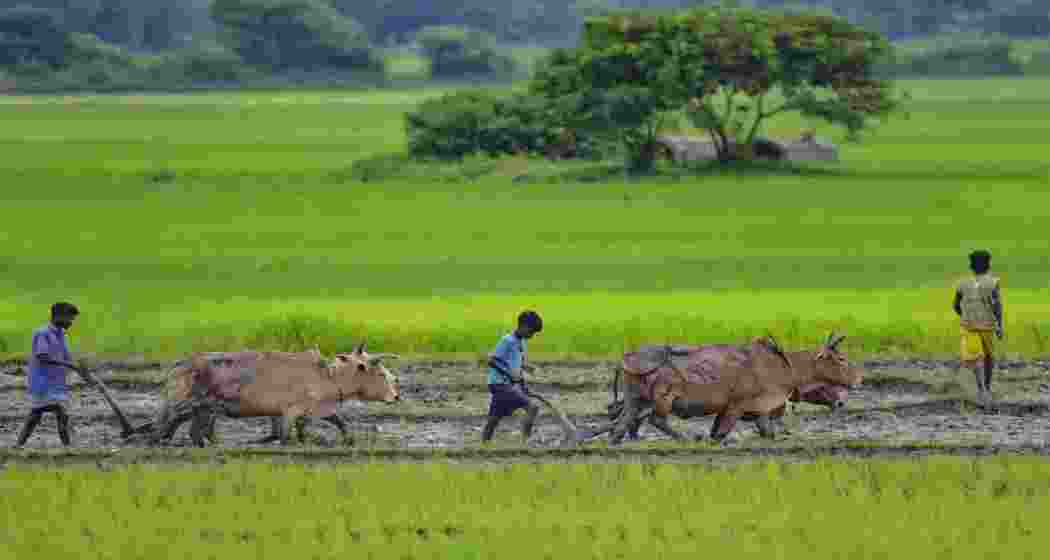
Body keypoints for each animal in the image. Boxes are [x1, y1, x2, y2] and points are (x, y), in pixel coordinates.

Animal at [146, 343, 400, 447]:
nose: (396, 396)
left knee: (195, 432)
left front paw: (347, 440)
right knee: (163, 425)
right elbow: (285, 436)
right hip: (183, 404)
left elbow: (339, 422)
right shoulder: (290, 411)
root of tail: (179, 365)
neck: (329, 376)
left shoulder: (315, 410)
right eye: (380, 372)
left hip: (204, 410)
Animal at [598, 333, 861, 445]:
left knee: (620, 426)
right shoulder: (736, 406)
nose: (860, 378)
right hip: (664, 397)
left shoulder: (758, 411)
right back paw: (688, 438)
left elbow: (767, 433)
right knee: (656, 420)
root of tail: (628, 358)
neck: (784, 366)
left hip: (634, 400)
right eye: (840, 359)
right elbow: (720, 434)